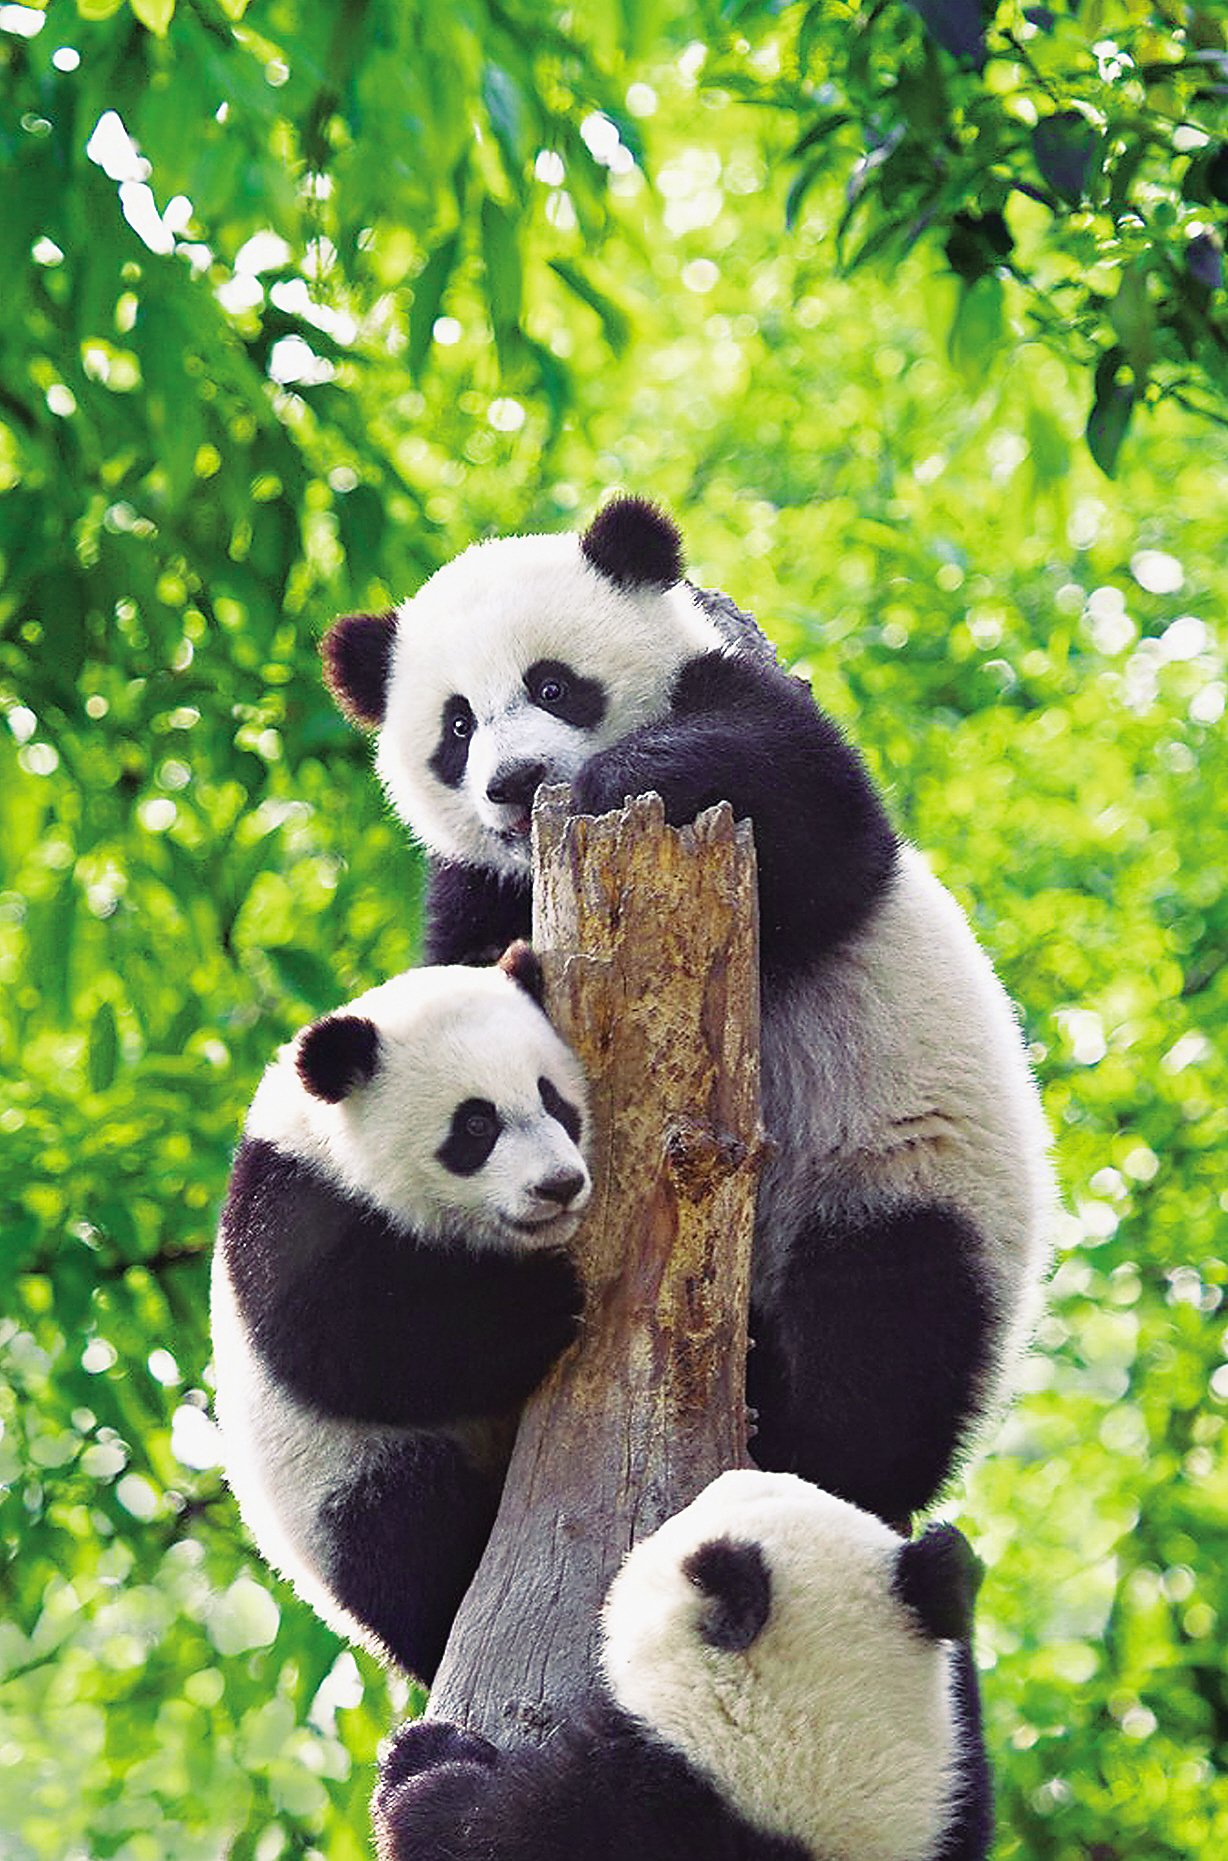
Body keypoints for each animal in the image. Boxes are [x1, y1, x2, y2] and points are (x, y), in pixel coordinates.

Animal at [209, 944, 590, 1683]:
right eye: (476, 1124)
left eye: (553, 1099)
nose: (559, 1186)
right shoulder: (296, 1207)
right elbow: (359, 1347)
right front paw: (541, 1305)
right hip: (333, 1486)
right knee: (402, 1526)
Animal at [323, 496, 1054, 1527]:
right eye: (456, 726)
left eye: (554, 684)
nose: (516, 782)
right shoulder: (476, 884)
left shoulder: (748, 713)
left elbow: (817, 820)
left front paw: (620, 776)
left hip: (908, 1168)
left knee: (889, 1321)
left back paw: (811, 1444)